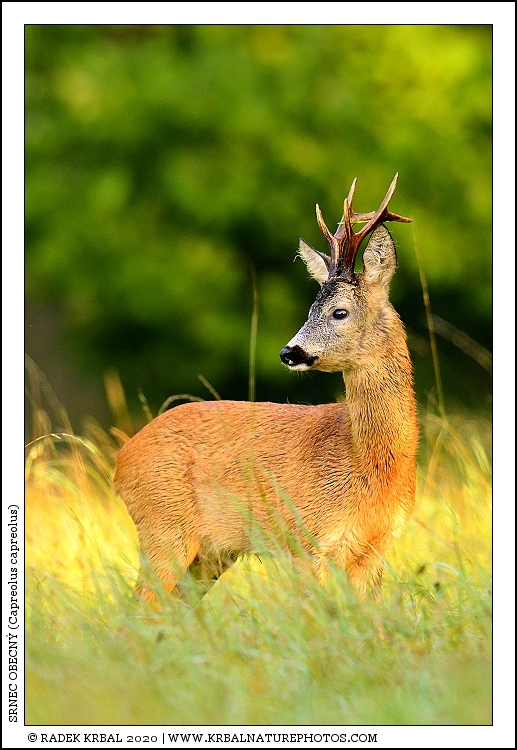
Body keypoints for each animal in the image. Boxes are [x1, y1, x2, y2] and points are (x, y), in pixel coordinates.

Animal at [114, 174, 418, 604]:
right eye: (309, 310)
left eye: (339, 312)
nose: (289, 352)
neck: (368, 462)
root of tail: (120, 461)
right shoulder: (306, 540)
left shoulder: (375, 549)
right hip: (163, 527)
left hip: (208, 554)